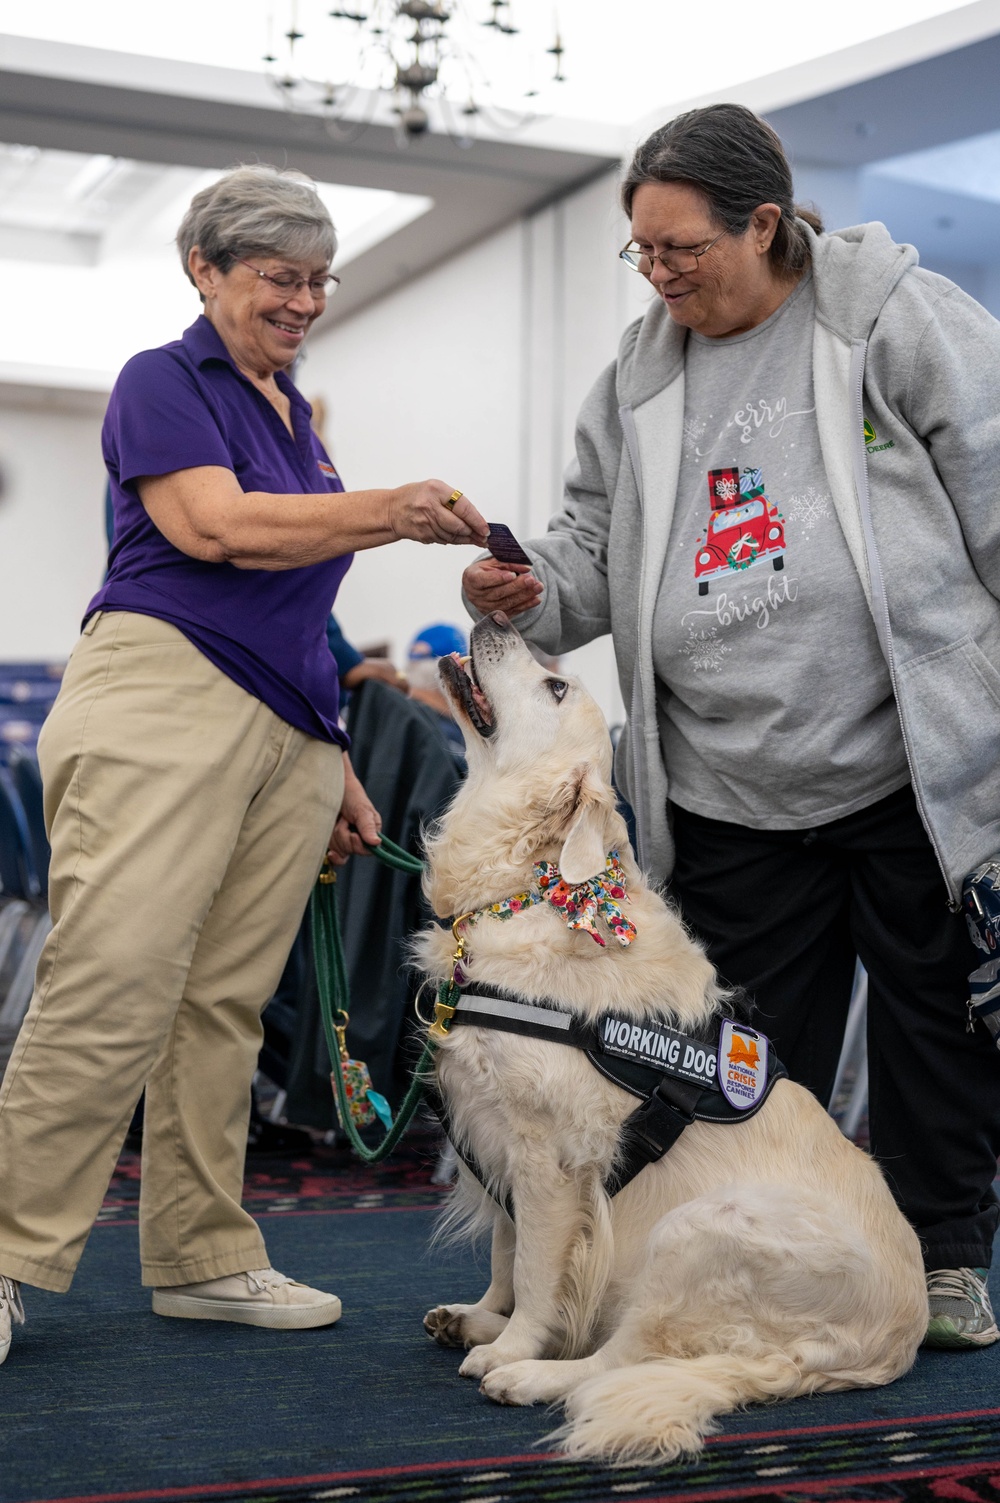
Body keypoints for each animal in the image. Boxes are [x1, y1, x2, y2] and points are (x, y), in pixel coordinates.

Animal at [412, 613, 920, 1466]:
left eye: (556, 685)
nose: (494, 616)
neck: (531, 887)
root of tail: (894, 1341)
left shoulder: (552, 1156)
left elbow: (539, 1265)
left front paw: (512, 1343)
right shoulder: (495, 1130)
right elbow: (506, 1248)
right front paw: (484, 1313)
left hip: (700, 1231)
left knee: (623, 1358)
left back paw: (531, 1377)